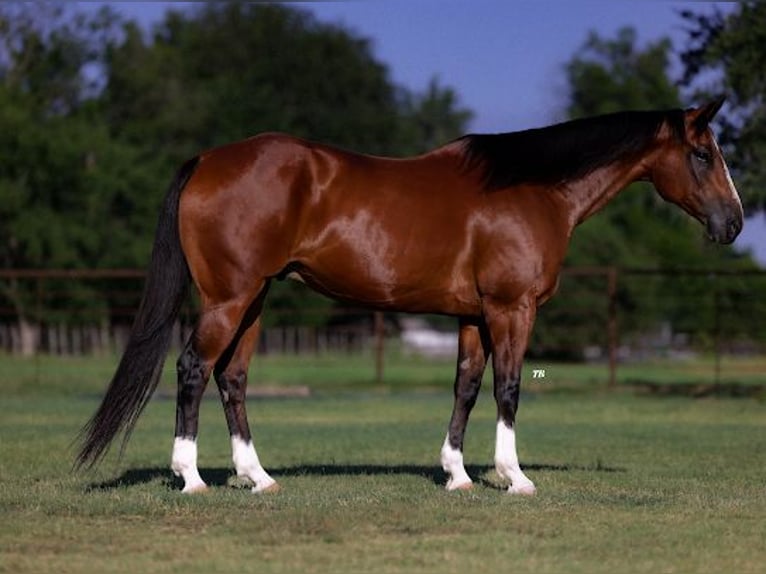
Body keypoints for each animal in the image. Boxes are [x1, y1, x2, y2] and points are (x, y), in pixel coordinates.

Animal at [78, 99, 744, 496]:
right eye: (702, 154)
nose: (734, 223)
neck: (531, 189)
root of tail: (206, 160)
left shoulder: (475, 315)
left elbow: (467, 388)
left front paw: (458, 475)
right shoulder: (512, 307)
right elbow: (508, 388)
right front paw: (514, 476)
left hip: (254, 301)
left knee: (231, 378)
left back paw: (258, 477)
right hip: (229, 299)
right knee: (194, 368)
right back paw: (190, 477)